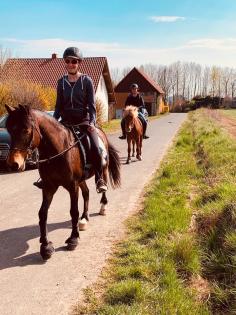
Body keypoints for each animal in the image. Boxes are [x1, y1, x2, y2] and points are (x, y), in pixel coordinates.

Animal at [5, 105, 121, 262]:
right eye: (10, 130)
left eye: (26, 130)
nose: (13, 164)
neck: (57, 150)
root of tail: (100, 131)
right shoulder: (49, 187)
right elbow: (43, 213)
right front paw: (46, 246)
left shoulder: (72, 186)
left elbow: (73, 211)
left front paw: (73, 239)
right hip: (81, 180)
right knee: (86, 193)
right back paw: (84, 218)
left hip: (102, 170)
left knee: (103, 187)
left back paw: (102, 207)